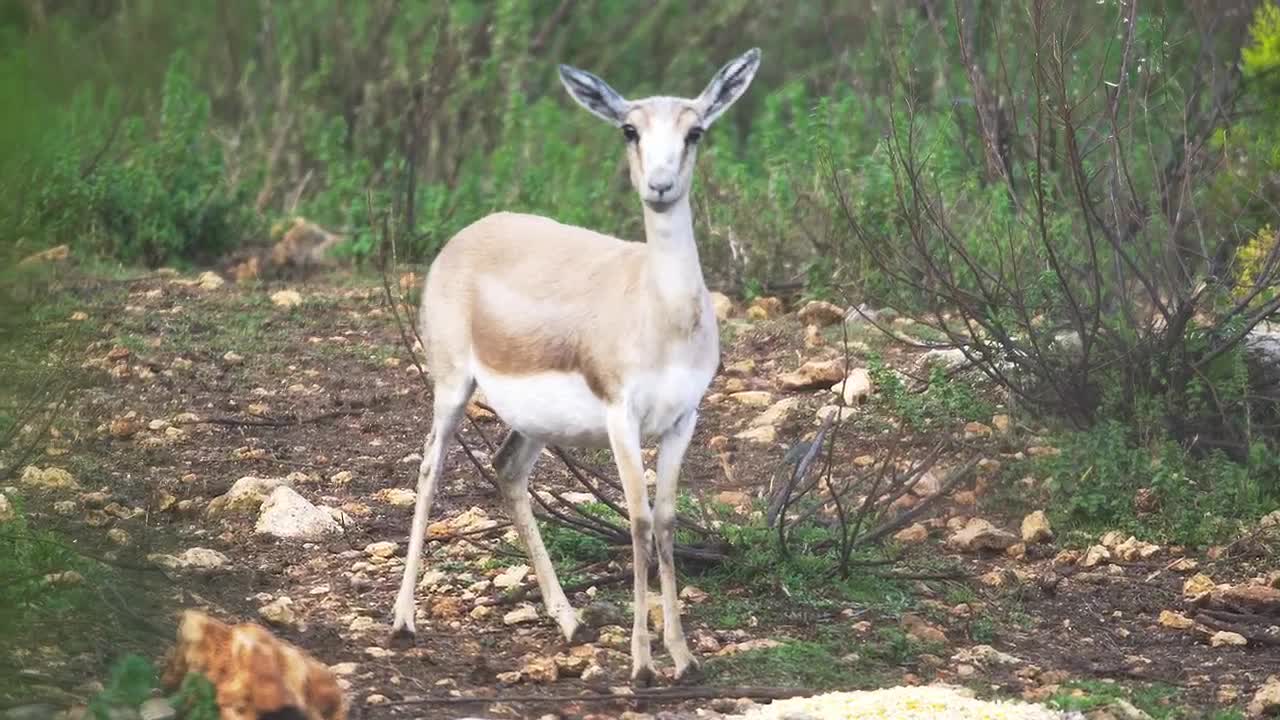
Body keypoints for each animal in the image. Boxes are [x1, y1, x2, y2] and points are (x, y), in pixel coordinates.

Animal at [390, 48, 762, 686]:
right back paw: (403, 620)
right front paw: (641, 664)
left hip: (536, 425)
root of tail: (469, 232)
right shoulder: (621, 419)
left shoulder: (683, 420)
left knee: (507, 472)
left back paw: (568, 620)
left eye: (695, 132)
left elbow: (666, 521)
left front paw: (683, 656)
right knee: (430, 470)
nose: (660, 186)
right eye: (629, 129)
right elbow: (637, 521)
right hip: (452, 387)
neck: (659, 311)